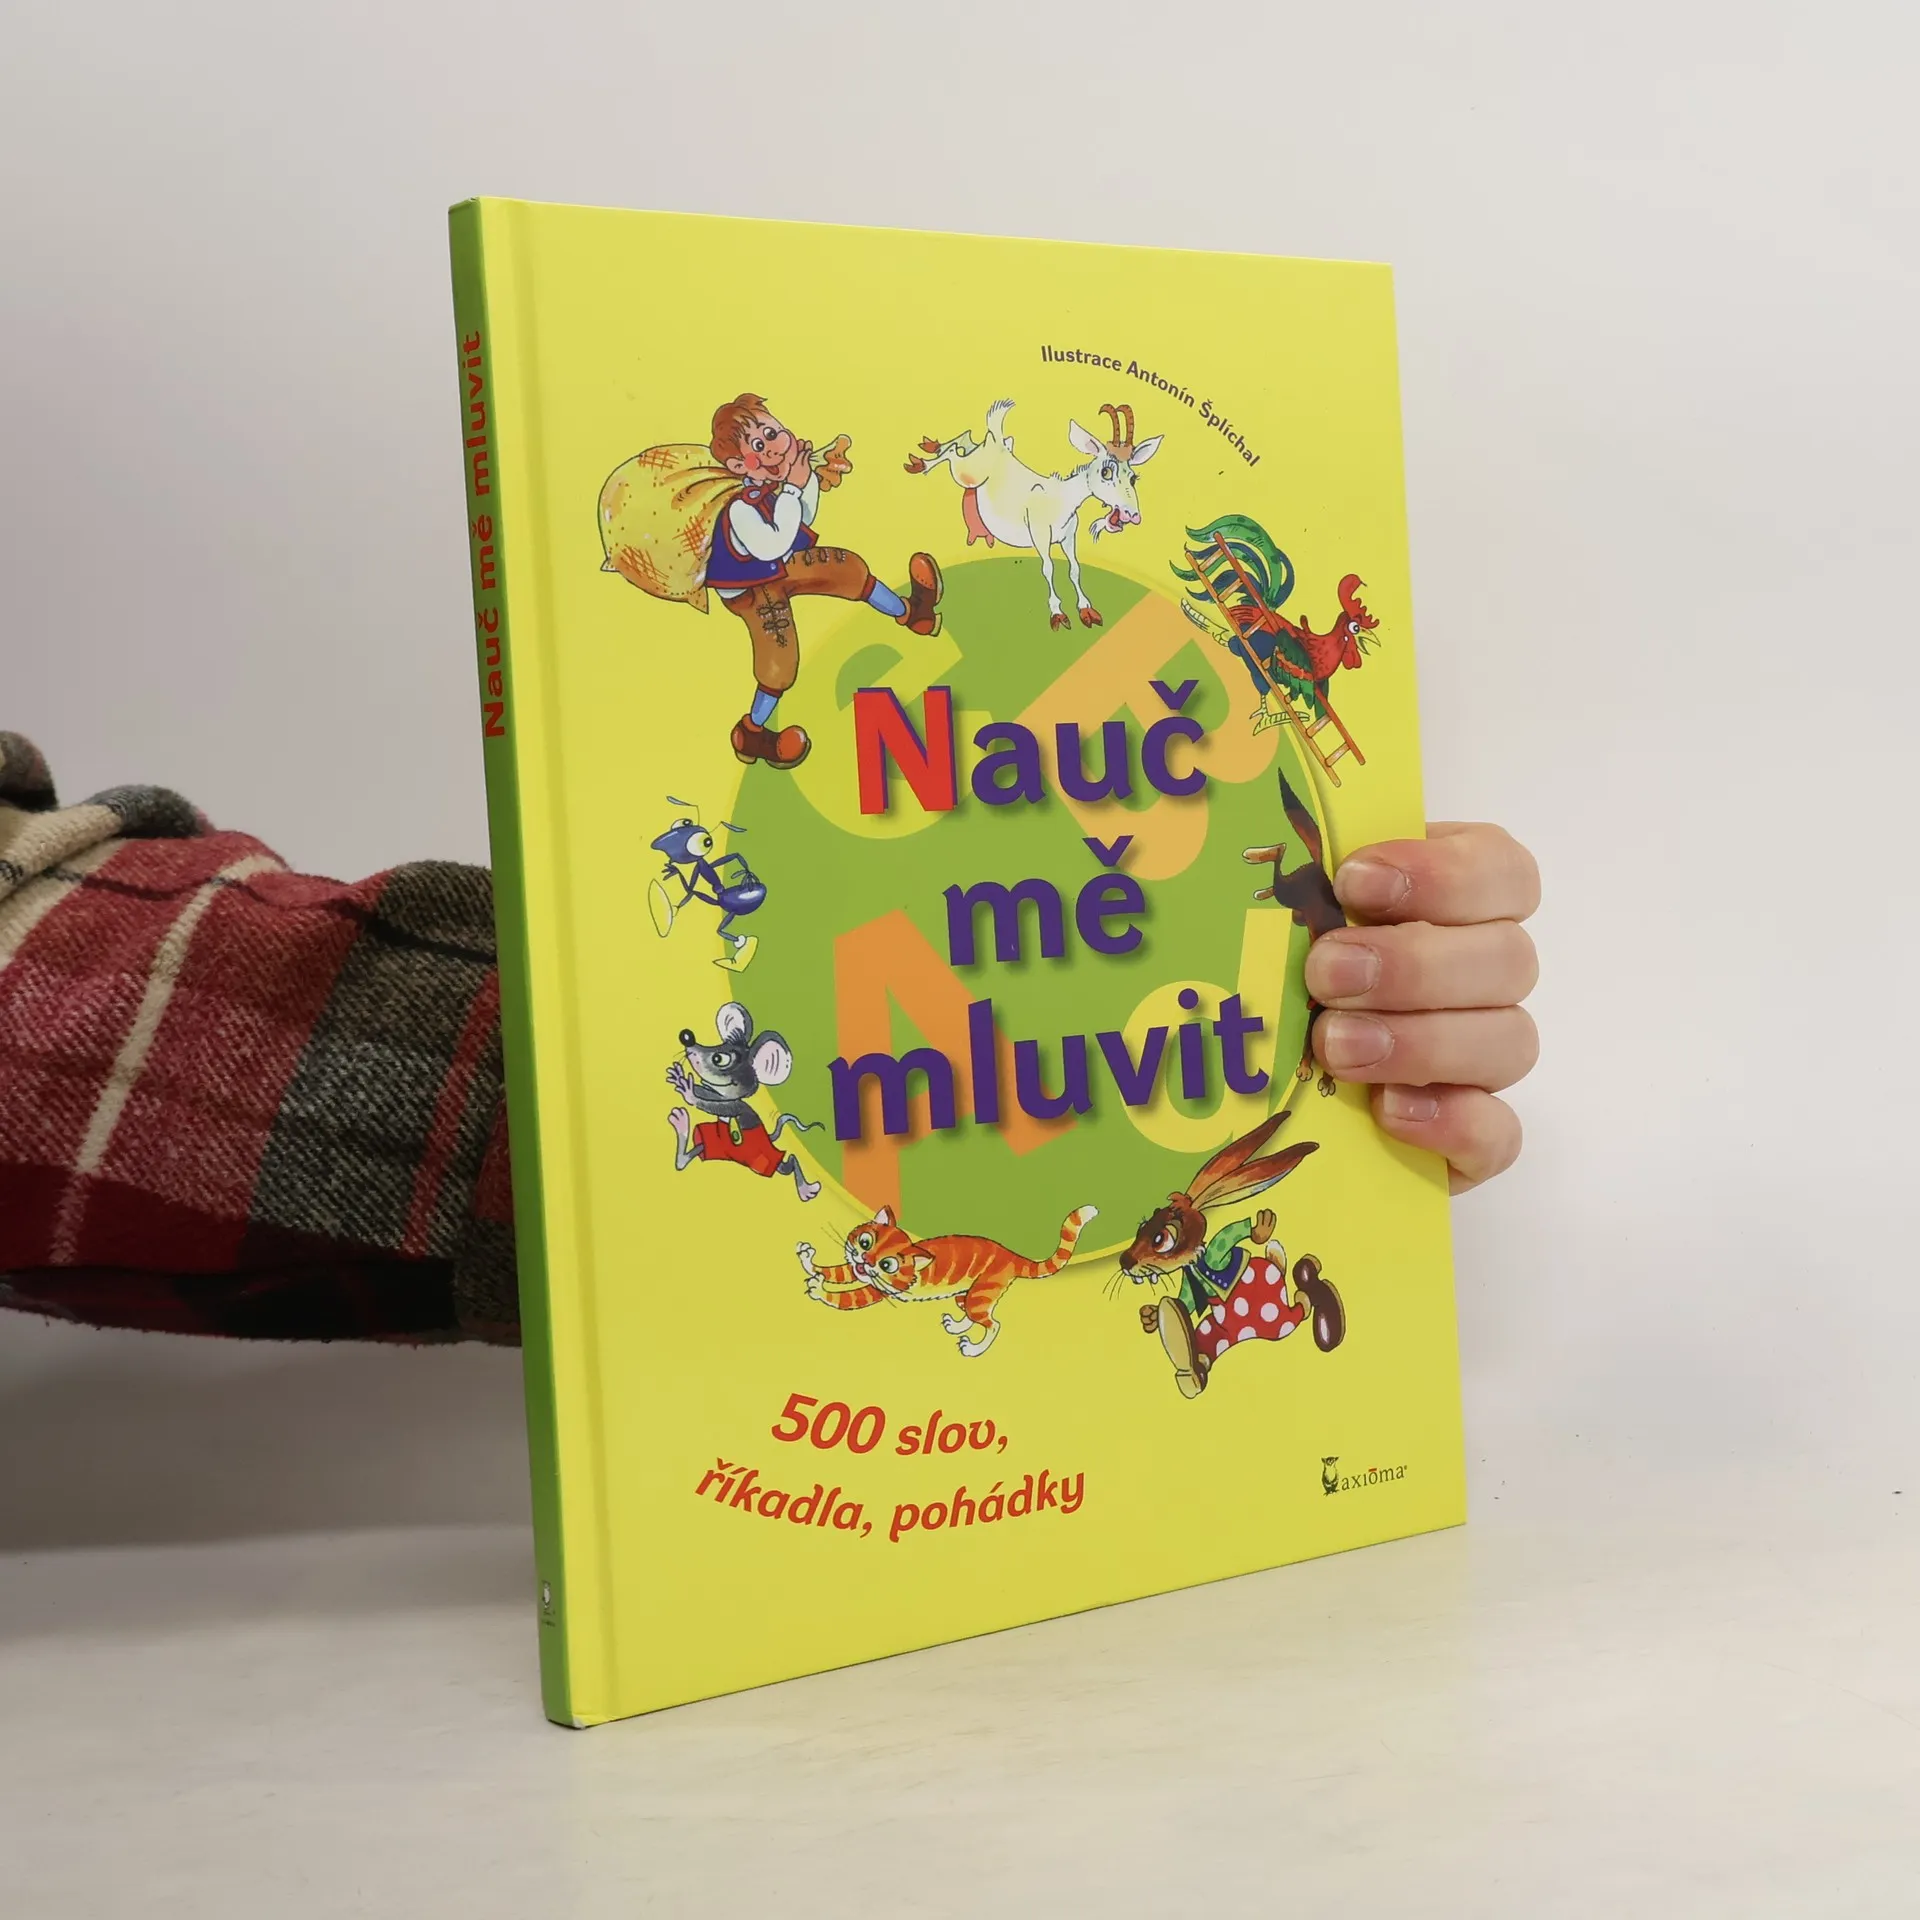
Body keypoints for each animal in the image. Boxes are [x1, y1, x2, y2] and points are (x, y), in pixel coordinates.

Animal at [904, 400, 1162, 630]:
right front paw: (1058, 614)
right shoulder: (1040, 536)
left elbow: (1075, 569)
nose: (1132, 515)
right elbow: (1048, 568)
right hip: (967, 473)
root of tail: (996, 441)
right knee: (953, 453)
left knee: (966, 440)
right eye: (1106, 471)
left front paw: (1087, 610)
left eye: (1133, 477)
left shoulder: (1068, 536)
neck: (1061, 500)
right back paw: (922, 462)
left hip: (983, 454)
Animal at [1116, 1108, 1344, 1397]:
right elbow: (1186, 1301)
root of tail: (1275, 1267)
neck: (1195, 1264)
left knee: (1300, 1305)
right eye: (1142, 1227)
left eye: (1161, 1239)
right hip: (1224, 1328)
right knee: (1206, 1344)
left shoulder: (1217, 1253)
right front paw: (1152, 1316)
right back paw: (1189, 1369)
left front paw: (1261, 1228)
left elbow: (1232, 1233)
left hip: (1274, 1319)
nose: (1125, 1261)